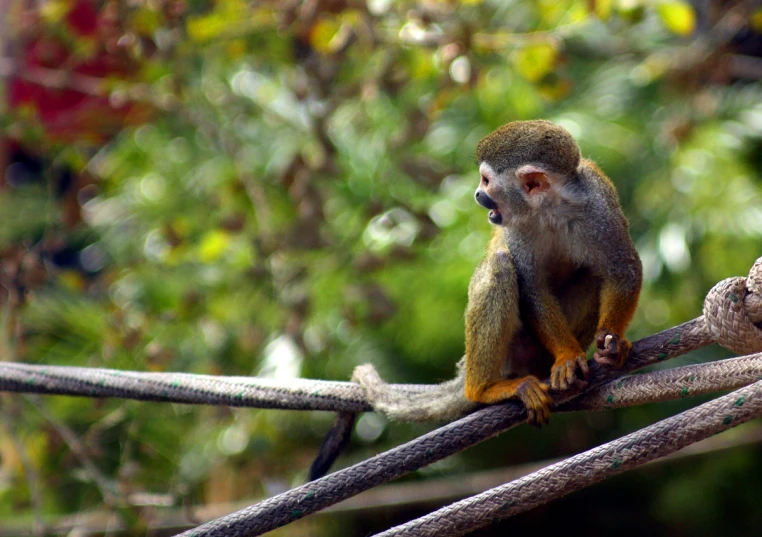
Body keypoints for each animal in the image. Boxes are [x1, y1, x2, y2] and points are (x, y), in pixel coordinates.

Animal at [306, 120, 640, 478]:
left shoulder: (598, 203)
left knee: (589, 273)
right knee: (501, 266)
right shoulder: (518, 228)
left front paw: (612, 342)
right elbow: (533, 289)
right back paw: (483, 390)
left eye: (485, 181)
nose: (477, 195)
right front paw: (567, 357)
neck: (549, 207)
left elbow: (624, 270)